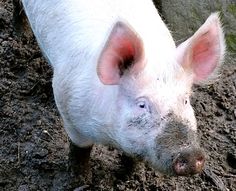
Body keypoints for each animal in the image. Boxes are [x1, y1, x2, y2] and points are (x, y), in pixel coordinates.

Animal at [20, 0, 225, 176]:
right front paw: (79, 180)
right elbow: (80, 153)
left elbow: (132, 159)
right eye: (142, 104)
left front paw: (128, 176)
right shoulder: (68, 107)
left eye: (185, 100)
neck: (109, 136)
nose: (190, 155)